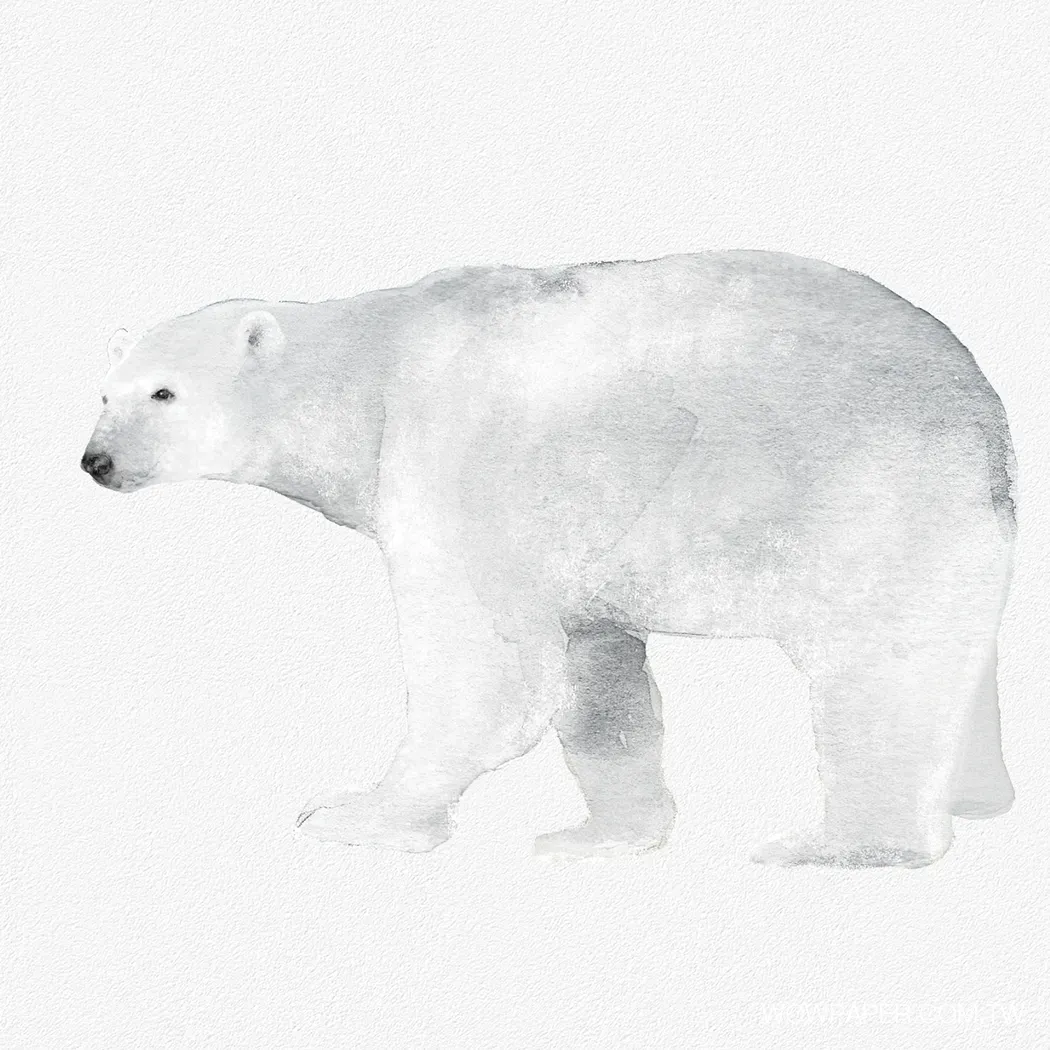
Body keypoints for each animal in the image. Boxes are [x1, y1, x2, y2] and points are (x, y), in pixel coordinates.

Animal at [81, 250, 1018, 867]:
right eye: (103, 392)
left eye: (164, 392)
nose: (96, 461)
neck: (368, 375)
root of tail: (981, 404)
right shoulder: (576, 539)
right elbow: (598, 678)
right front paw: (602, 835)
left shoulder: (448, 461)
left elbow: (487, 672)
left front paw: (354, 814)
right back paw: (980, 796)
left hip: (869, 498)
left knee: (878, 673)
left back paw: (840, 844)